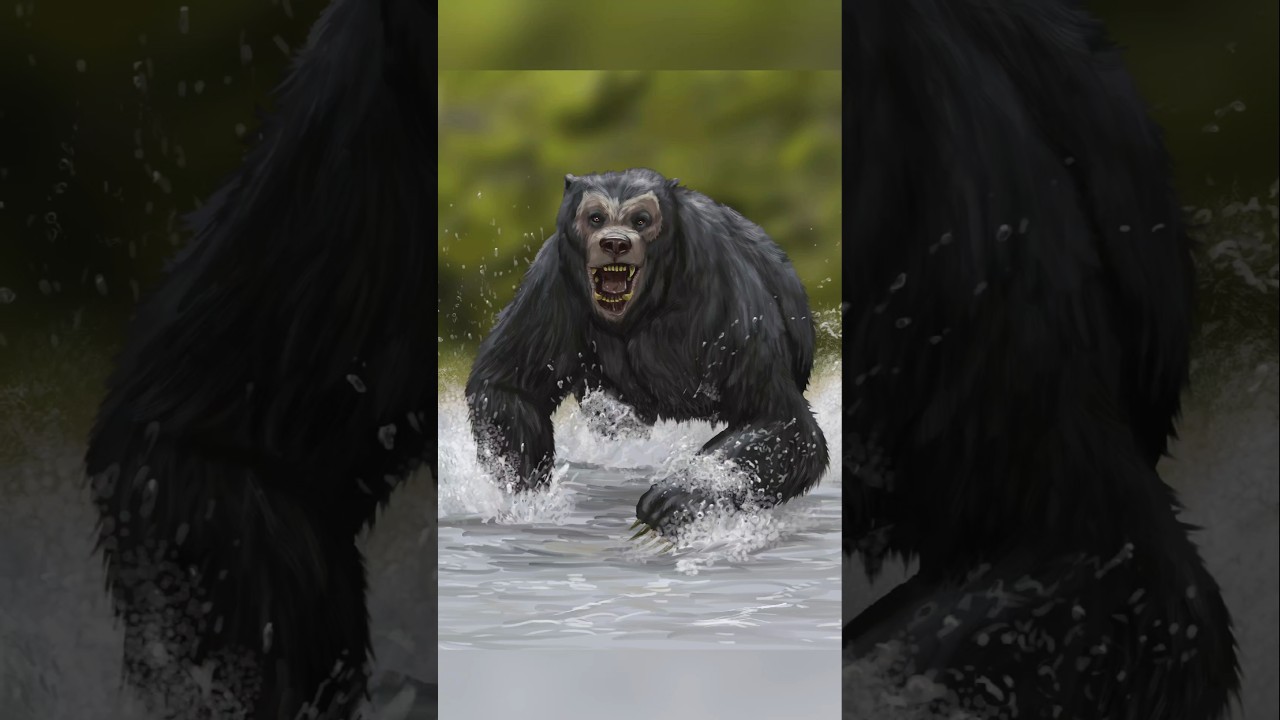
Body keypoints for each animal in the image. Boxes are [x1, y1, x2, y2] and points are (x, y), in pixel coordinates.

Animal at [465, 168, 828, 539]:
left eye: (640, 220)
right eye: (596, 218)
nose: (615, 242)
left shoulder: (730, 302)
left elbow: (780, 420)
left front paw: (682, 494)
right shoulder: (550, 285)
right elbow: (509, 387)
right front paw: (524, 487)